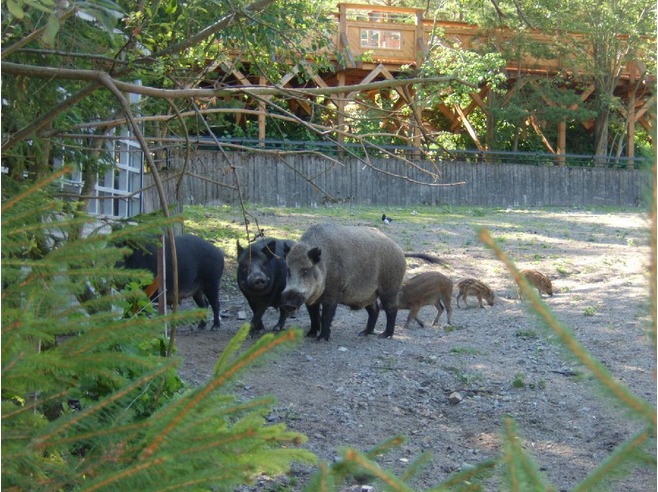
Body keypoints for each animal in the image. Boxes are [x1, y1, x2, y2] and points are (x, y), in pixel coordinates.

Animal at [280, 224, 408, 342]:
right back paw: (363, 333)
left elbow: (326, 315)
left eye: (305, 270)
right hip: (368, 295)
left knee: (392, 309)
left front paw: (321, 339)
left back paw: (384, 335)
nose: (288, 305)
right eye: (288, 270)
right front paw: (310, 335)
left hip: (390, 287)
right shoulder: (311, 299)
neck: (325, 265)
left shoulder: (333, 291)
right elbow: (313, 315)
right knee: (374, 310)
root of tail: (400, 251)